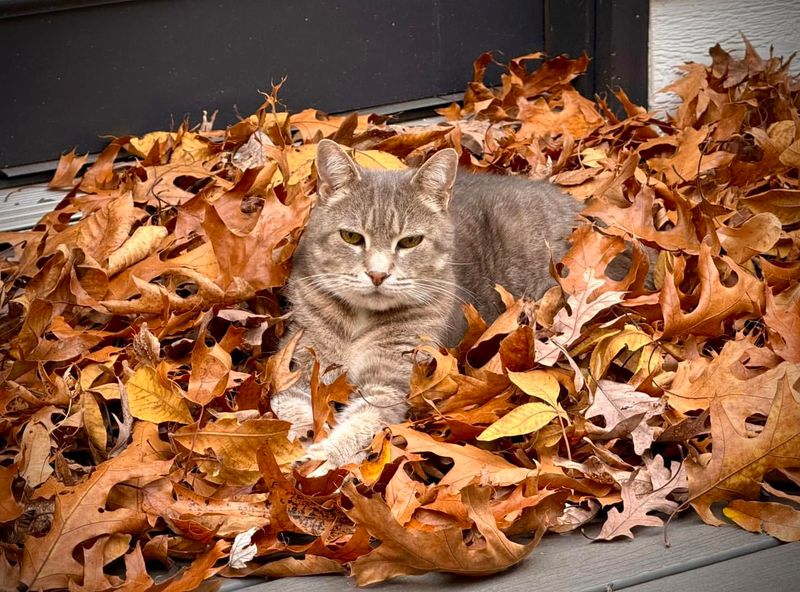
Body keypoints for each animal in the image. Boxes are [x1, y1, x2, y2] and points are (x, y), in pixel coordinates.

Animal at [268, 140, 580, 472]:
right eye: (350, 237)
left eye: (410, 242)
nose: (377, 274)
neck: (360, 320)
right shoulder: (295, 363)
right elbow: (286, 405)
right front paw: (308, 432)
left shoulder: (391, 382)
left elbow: (363, 421)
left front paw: (323, 456)